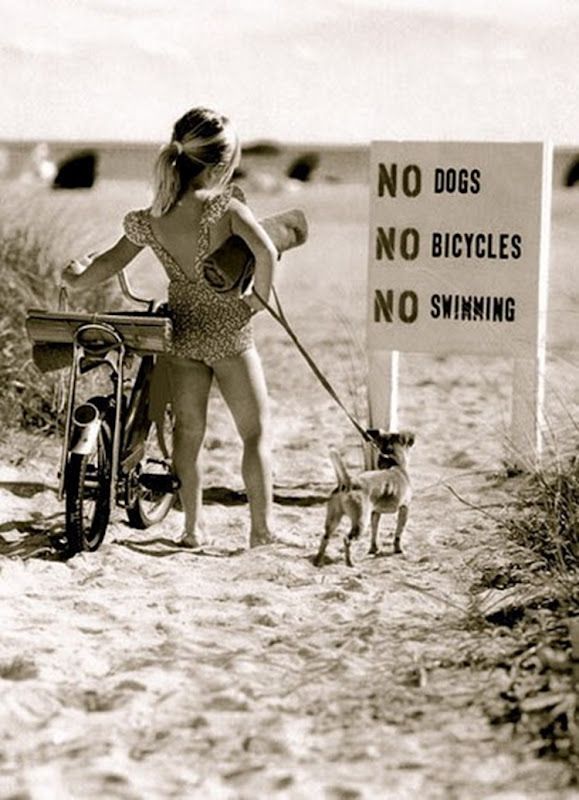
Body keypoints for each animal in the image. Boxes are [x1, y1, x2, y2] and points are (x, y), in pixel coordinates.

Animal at [314, 432, 414, 568]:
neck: (393, 463)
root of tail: (347, 483)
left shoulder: (375, 513)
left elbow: (374, 532)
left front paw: (373, 549)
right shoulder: (404, 508)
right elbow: (398, 533)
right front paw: (398, 550)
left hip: (333, 519)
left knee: (325, 537)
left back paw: (318, 560)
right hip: (360, 522)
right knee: (347, 540)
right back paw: (350, 562)